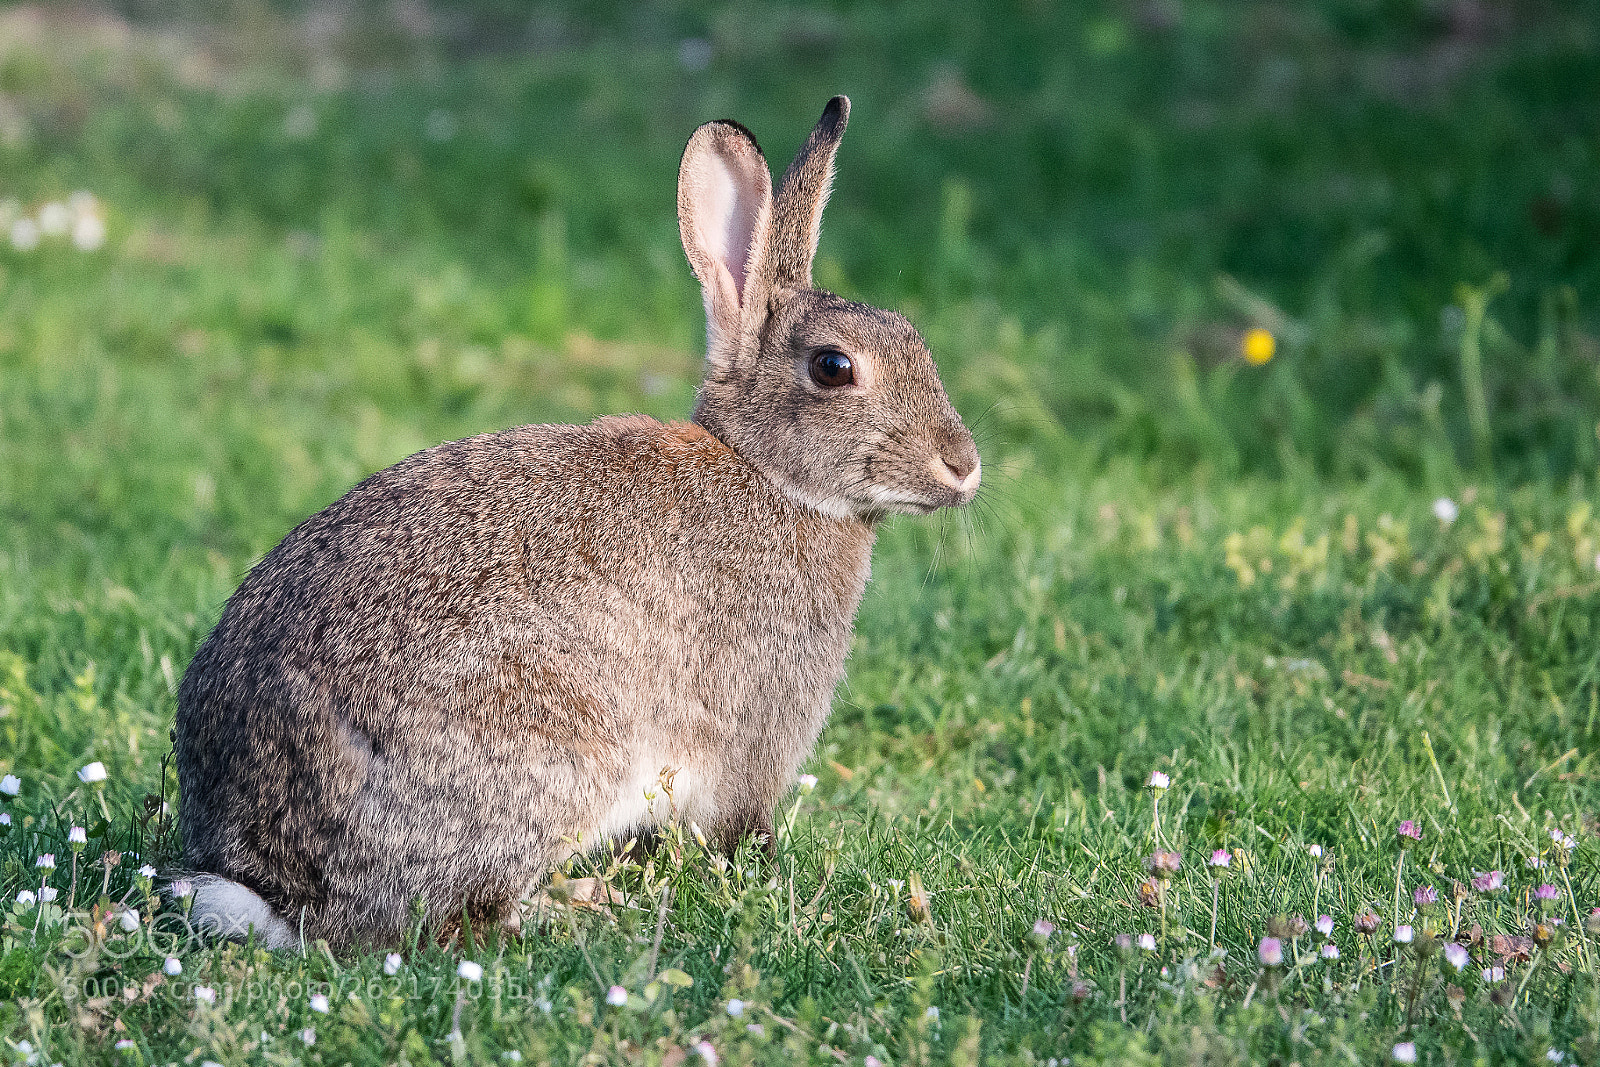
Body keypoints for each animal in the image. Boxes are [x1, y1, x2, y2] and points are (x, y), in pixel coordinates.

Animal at [174, 96, 981, 950]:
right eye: (834, 367)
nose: (963, 466)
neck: (767, 473)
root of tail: (278, 887)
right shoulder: (757, 731)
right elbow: (742, 826)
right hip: (544, 752)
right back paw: (583, 904)